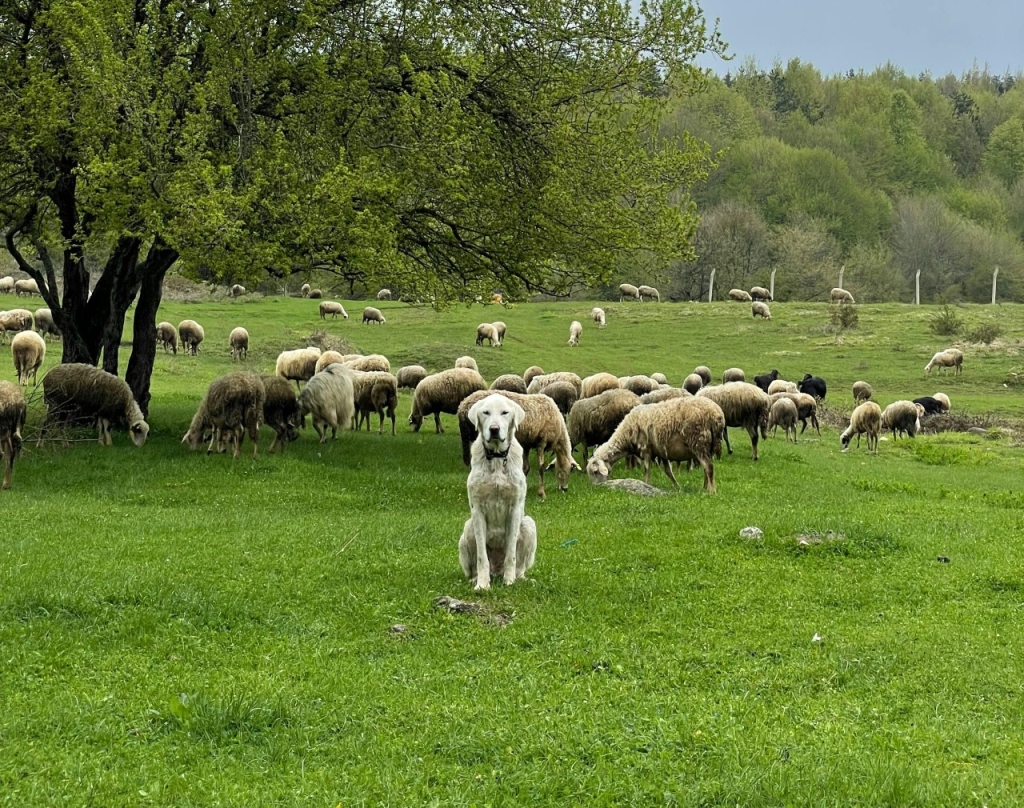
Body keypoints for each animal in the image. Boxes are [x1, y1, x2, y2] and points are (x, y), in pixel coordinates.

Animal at [456, 391, 536, 585]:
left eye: (505, 413)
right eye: (485, 412)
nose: (494, 429)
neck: (498, 458)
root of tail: (496, 571)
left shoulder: (515, 509)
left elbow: (511, 554)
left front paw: (509, 582)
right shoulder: (477, 509)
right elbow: (481, 557)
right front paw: (482, 585)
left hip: (529, 524)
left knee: (520, 567)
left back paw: (519, 579)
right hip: (468, 528)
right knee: (475, 565)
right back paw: (476, 579)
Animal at [585, 397, 729, 491]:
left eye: (595, 472)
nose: (596, 488)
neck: (626, 435)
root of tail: (717, 414)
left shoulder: (646, 449)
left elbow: (647, 469)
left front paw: (647, 485)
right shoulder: (661, 452)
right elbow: (668, 471)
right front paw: (678, 487)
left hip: (698, 442)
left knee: (708, 467)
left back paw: (711, 491)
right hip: (708, 445)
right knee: (706, 467)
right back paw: (704, 488)